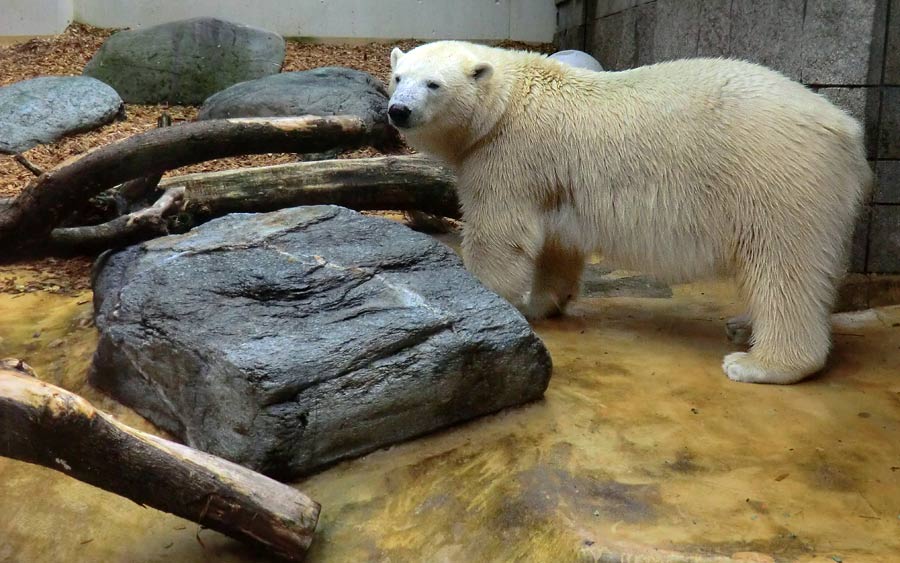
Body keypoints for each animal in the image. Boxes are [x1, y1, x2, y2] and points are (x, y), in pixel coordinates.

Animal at [386, 38, 872, 384]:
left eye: (433, 84)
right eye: (397, 76)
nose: (398, 110)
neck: (506, 103)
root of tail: (846, 129)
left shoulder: (510, 154)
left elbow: (499, 234)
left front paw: (492, 303)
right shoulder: (553, 178)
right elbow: (558, 241)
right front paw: (542, 302)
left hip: (774, 175)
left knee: (782, 262)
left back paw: (758, 363)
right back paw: (741, 325)